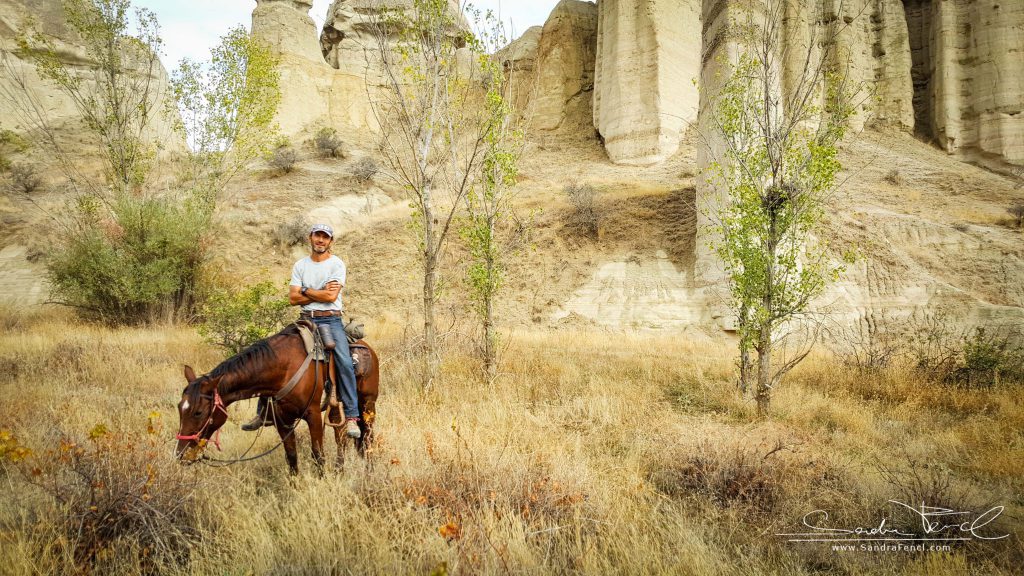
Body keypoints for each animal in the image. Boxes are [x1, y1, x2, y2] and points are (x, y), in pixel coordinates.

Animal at [176, 323, 380, 471]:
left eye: (198, 412)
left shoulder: (313, 414)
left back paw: (369, 471)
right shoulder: (282, 420)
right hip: (336, 407)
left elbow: (318, 455)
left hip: (367, 403)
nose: (181, 455)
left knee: (367, 436)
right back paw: (339, 470)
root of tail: (368, 349)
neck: (284, 368)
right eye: (180, 408)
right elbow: (291, 457)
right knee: (341, 437)